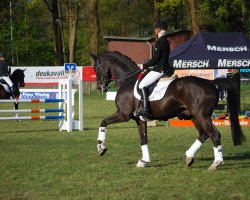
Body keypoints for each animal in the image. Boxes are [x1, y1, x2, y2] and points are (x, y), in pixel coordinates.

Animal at [90, 51, 244, 170]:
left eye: (97, 67)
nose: (100, 88)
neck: (128, 79)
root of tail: (211, 82)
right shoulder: (139, 119)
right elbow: (143, 139)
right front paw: (144, 161)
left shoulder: (124, 115)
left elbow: (103, 122)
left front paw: (101, 147)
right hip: (194, 116)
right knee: (204, 134)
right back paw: (189, 157)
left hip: (202, 116)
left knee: (214, 135)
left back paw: (216, 163)